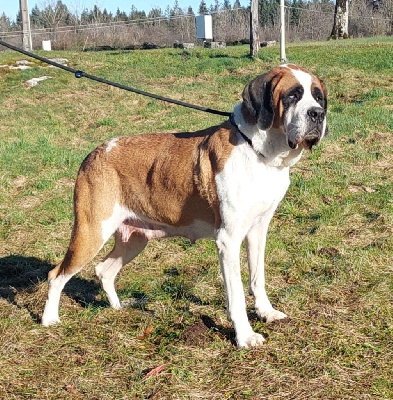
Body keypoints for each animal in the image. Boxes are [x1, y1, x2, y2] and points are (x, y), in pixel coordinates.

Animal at [41, 64, 326, 348]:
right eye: (292, 96)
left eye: (318, 96)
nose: (318, 114)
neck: (260, 153)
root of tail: (95, 153)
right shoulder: (229, 240)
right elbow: (236, 294)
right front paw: (245, 336)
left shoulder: (257, 231)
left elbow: (257, 278)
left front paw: (266, 312)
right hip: (91, 233)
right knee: (56, 275)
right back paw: (49, 320)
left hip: (134, 239)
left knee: (104, 270)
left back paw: (117, 307)